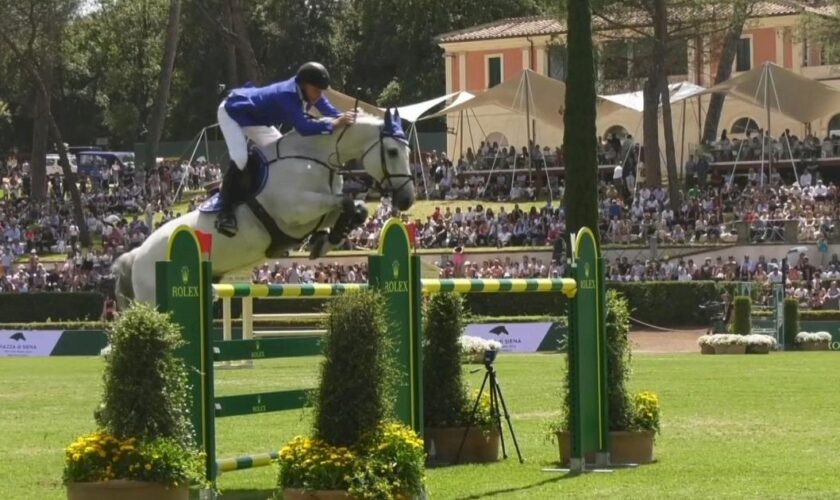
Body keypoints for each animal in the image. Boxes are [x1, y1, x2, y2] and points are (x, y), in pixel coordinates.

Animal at [113, 110, 416, 304]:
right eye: (392, 152)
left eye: (409, 152)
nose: (407, 200)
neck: (314, 158)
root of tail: (136, 255)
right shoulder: (296, 210)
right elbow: (345, 202)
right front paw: (328, 239)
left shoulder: (317, 212)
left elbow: (353, 208)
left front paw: (327, 240)